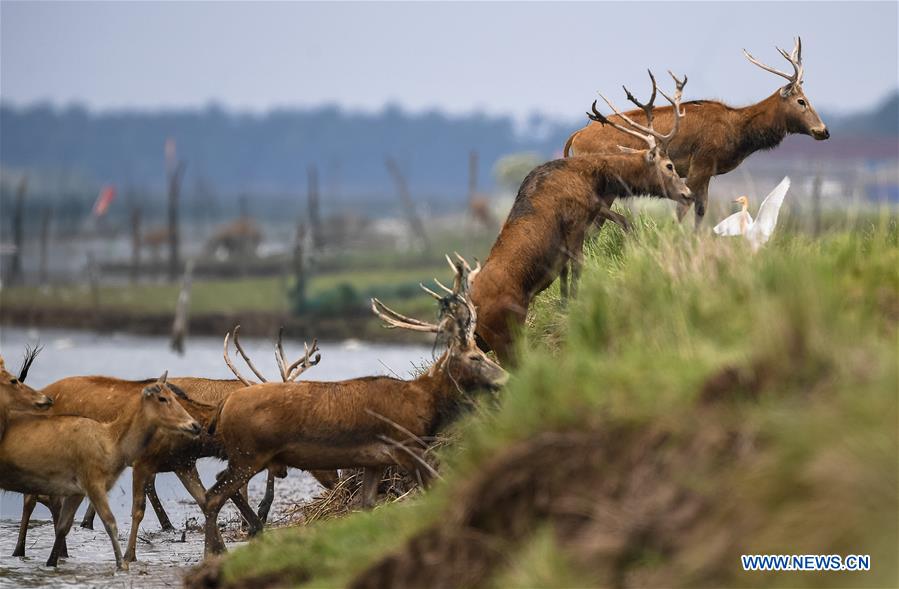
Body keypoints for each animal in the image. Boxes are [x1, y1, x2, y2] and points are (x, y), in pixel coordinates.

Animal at [204, 255, 510, 552]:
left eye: (481, 352)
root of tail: (224, 405)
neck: (423, 404)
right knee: (213, 496)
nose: (505, 377)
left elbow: (366, 505)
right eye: (475, 357)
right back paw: (218, 550)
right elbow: (435, 485)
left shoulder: (375, 460)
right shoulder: (404, 445)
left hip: (246, 455)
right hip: (249, 453)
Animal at [474, 71, 692, 360]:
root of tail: (470, 310)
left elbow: (569, 268)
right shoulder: (576, 223)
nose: (688, 193)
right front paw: (573, 306)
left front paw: (564, 304)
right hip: (506, 335)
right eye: (669, 166)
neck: (596, 178)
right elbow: (579, 264)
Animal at [568, 37, 832, 227]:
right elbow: (683, 209)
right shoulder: (700, 165)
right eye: (801, 101)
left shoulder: (708, 172)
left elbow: (701, 210)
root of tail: (575, 137)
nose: (823, 131)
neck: (738, 132)